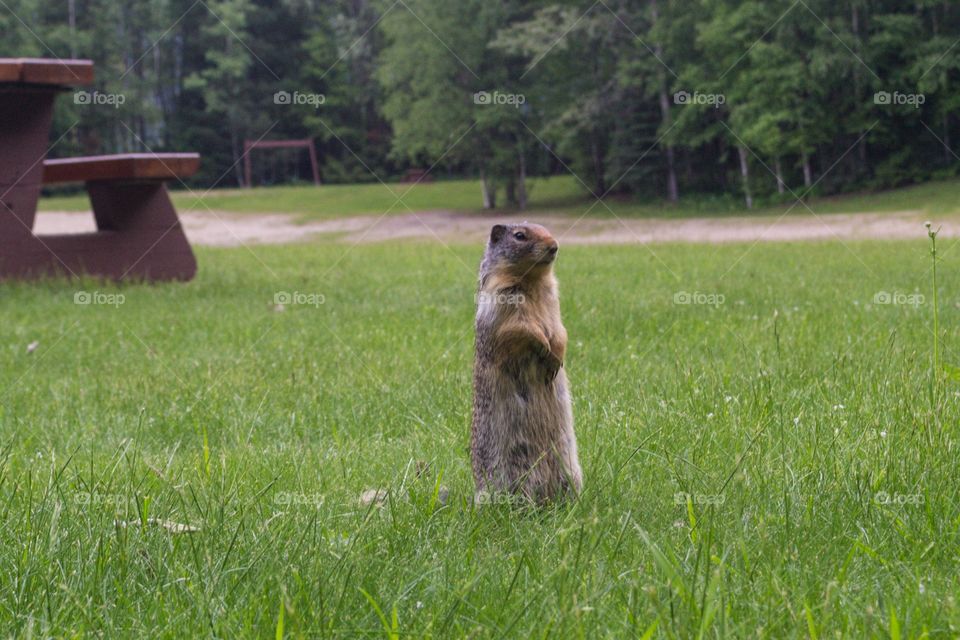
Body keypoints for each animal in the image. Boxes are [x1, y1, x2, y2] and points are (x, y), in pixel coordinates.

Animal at [470, 222, 580, 502]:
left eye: (547, 228)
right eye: (519, 235)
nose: (554, 245)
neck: (533, 280)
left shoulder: (553, 299)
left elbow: (560, 329)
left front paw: (556, 354)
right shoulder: (502, 299)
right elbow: (519, 328)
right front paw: (543, 346)